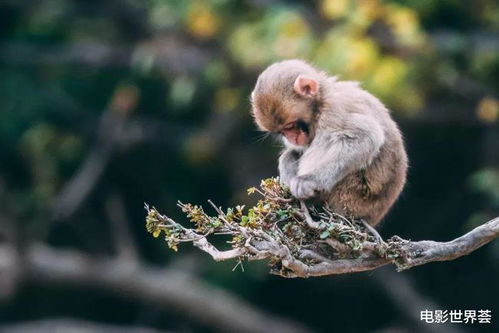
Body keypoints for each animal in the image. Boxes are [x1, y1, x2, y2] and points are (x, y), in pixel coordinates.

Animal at [252, 59, 408, 226]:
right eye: (282, 132)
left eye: (290, 126)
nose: (291, 138)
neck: (322, 99)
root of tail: (371, 217)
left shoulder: (334, 110)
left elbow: (365, 137)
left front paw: (309, 180)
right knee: (293, 153)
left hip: (350, 197)